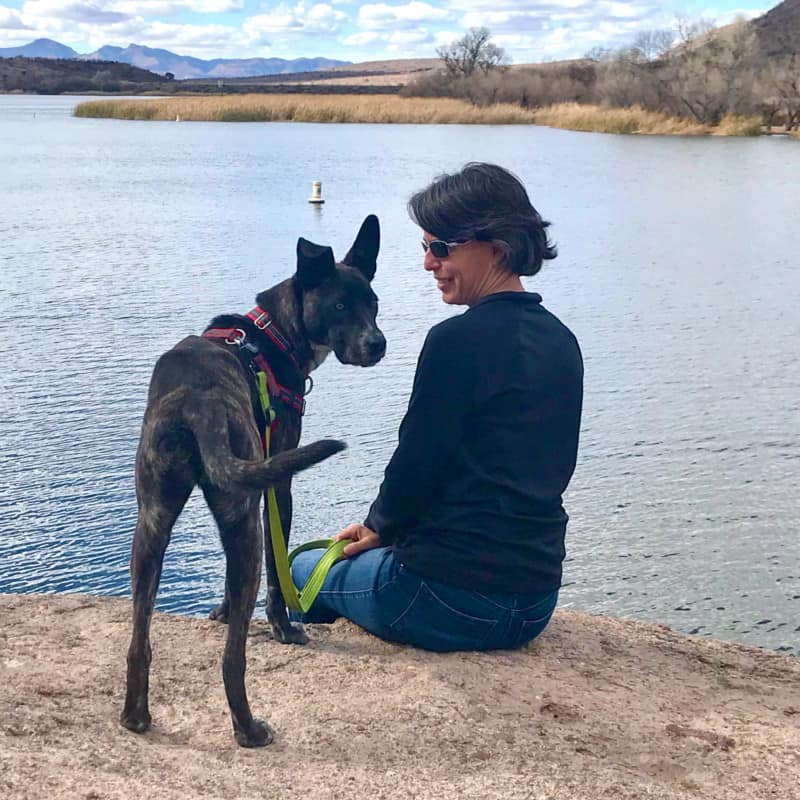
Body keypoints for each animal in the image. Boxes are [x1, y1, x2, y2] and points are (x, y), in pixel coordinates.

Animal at [122, 216, 388, 748]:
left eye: (372, 302)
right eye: (340, 305)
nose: (377, 343)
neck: (273, 336)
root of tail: (197, 404)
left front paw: (221, 610)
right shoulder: (275, 487)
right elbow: (278, 575)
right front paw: (284, 627)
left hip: (153, 520)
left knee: (140, 638)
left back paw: (135, 716)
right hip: (245, 519)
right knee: (232, 658)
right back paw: (247, 728)